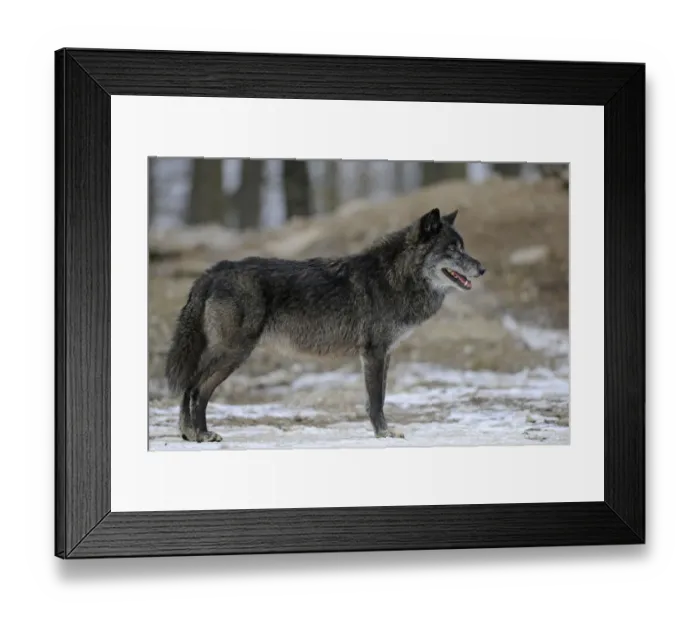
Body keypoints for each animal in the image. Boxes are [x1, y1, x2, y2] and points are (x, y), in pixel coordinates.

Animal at [164, 207, 486, 442]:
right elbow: (376, 400)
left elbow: (378, 397)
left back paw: (193, 433)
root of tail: (213, 271)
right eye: (453, 249)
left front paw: (382, 431)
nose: (483, 268)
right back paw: (199, 434)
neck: (395, 277)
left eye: (463, 247)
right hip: (234, 353)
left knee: (194, 387)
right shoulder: (374, 353)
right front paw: (383, 433)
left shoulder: (384, 354)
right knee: (196, 388)